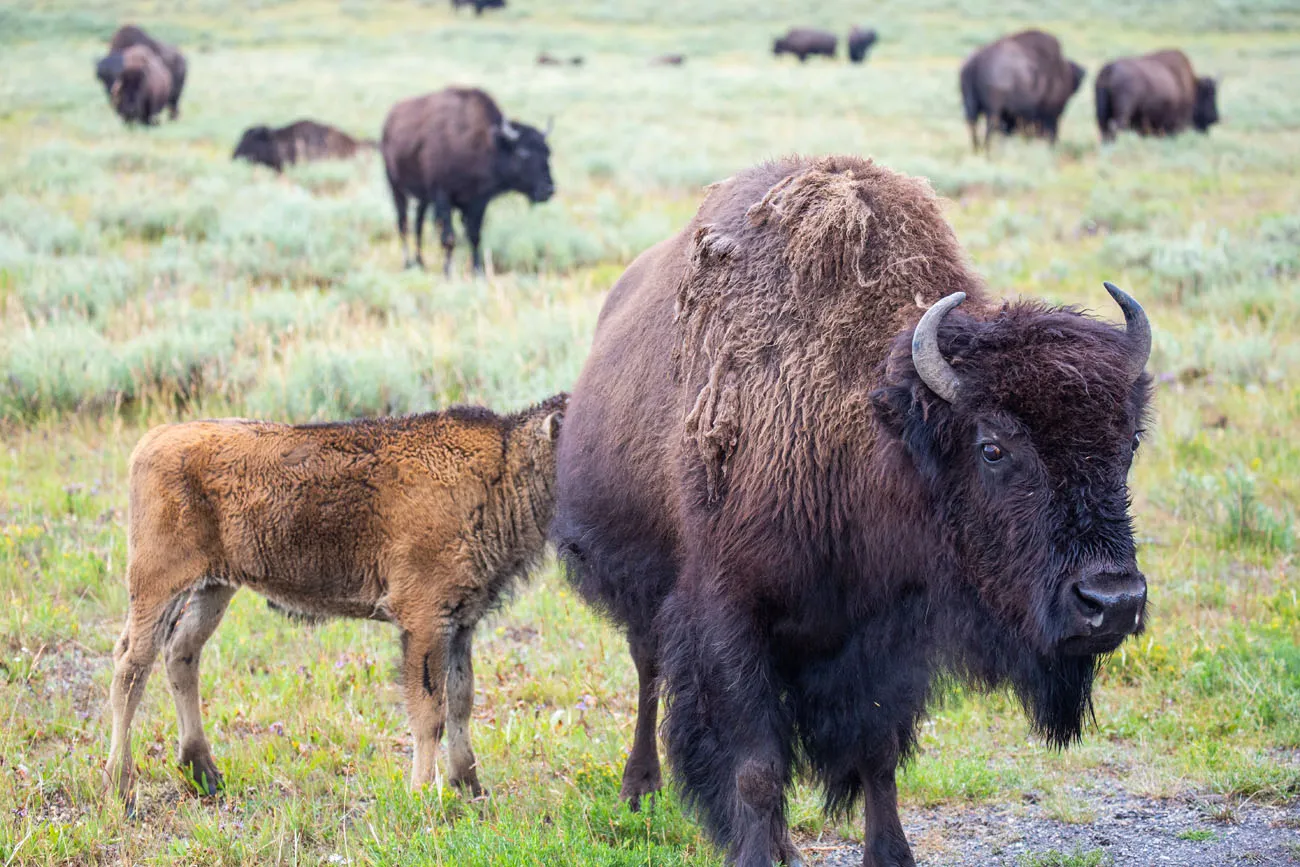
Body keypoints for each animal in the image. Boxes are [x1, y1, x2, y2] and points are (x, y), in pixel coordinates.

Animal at [380, 87, 554, 277]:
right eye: (523, 152)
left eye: (548, 152)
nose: (548, 189)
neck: (487, 143)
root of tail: (389, 121)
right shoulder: (442, 196)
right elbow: (449, 237)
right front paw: (448, 272)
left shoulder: (477, 202)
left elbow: (474, 235)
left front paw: (478, 271)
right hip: (396, 188)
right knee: (403, 223)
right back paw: (407, 263)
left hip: (423, 198)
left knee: (418, 223)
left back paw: (420, 262)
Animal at [554, 155, 1151, 866]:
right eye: (993, 447)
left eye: (1129, 442)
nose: (1112, 601)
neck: (872, 435)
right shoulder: (729, 618)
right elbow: (756, 768)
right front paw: (755, 853)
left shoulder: (886, 634)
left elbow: (878, 755)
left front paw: (889, 855)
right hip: (639, 585)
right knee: (648, 672)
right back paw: (639, 790)